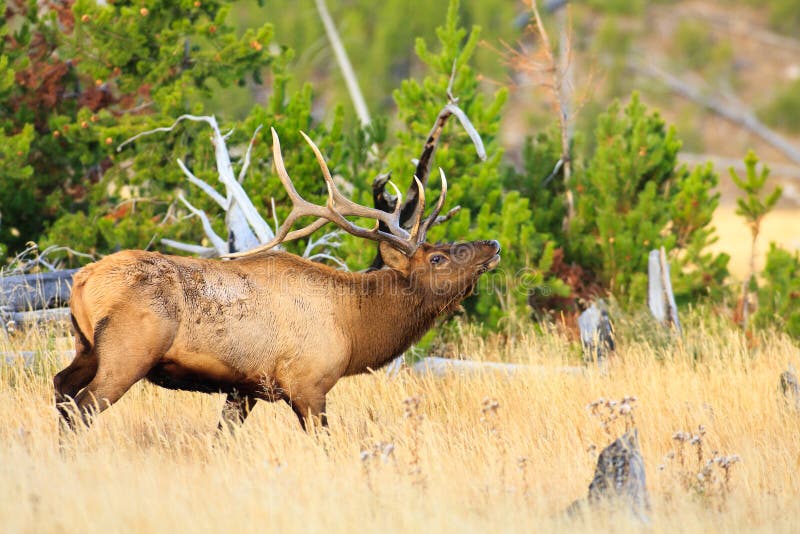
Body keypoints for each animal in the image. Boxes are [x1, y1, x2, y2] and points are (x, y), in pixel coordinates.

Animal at [54, 127, 500, 434]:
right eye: (437, 257)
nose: (493, 244)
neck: (354, 328)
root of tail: (82, 279)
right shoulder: (308, 385)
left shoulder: (244, 389)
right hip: (128, 351)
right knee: (82, 407)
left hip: (85, 346)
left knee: (61, 387)